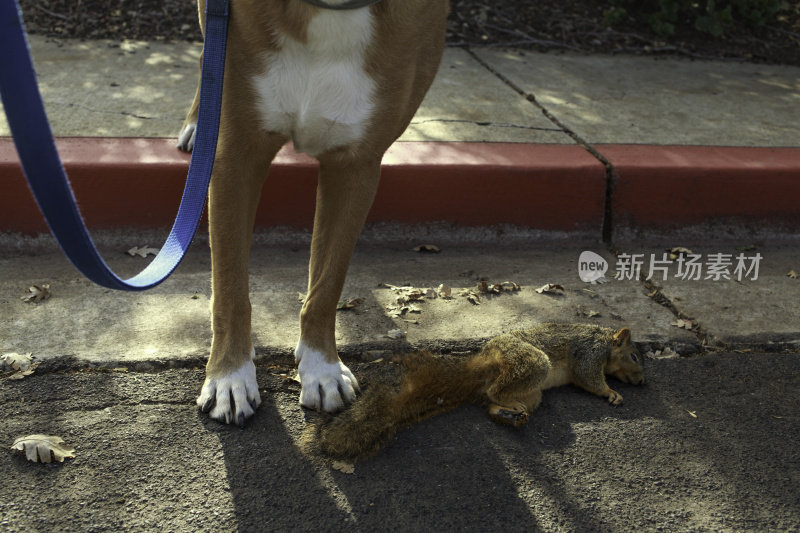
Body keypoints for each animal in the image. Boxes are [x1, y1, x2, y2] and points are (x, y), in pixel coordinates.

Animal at [177, 1, 450, 424]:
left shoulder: (356, 166)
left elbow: (327, 282)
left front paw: (322, 369)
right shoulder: (235, 158)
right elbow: (230, 287)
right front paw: (229, 377)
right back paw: (195, 124)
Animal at [304, 322, 648, 460]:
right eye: (634, 356)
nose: (642, 381)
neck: (606, 340)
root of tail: (485, 361)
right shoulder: (590, 352)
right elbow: (588, 378)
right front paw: (610, 392)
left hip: (533, 392)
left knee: (490, 402)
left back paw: (510, 415)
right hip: (532, 362)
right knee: (494, 391)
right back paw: (506, 406)